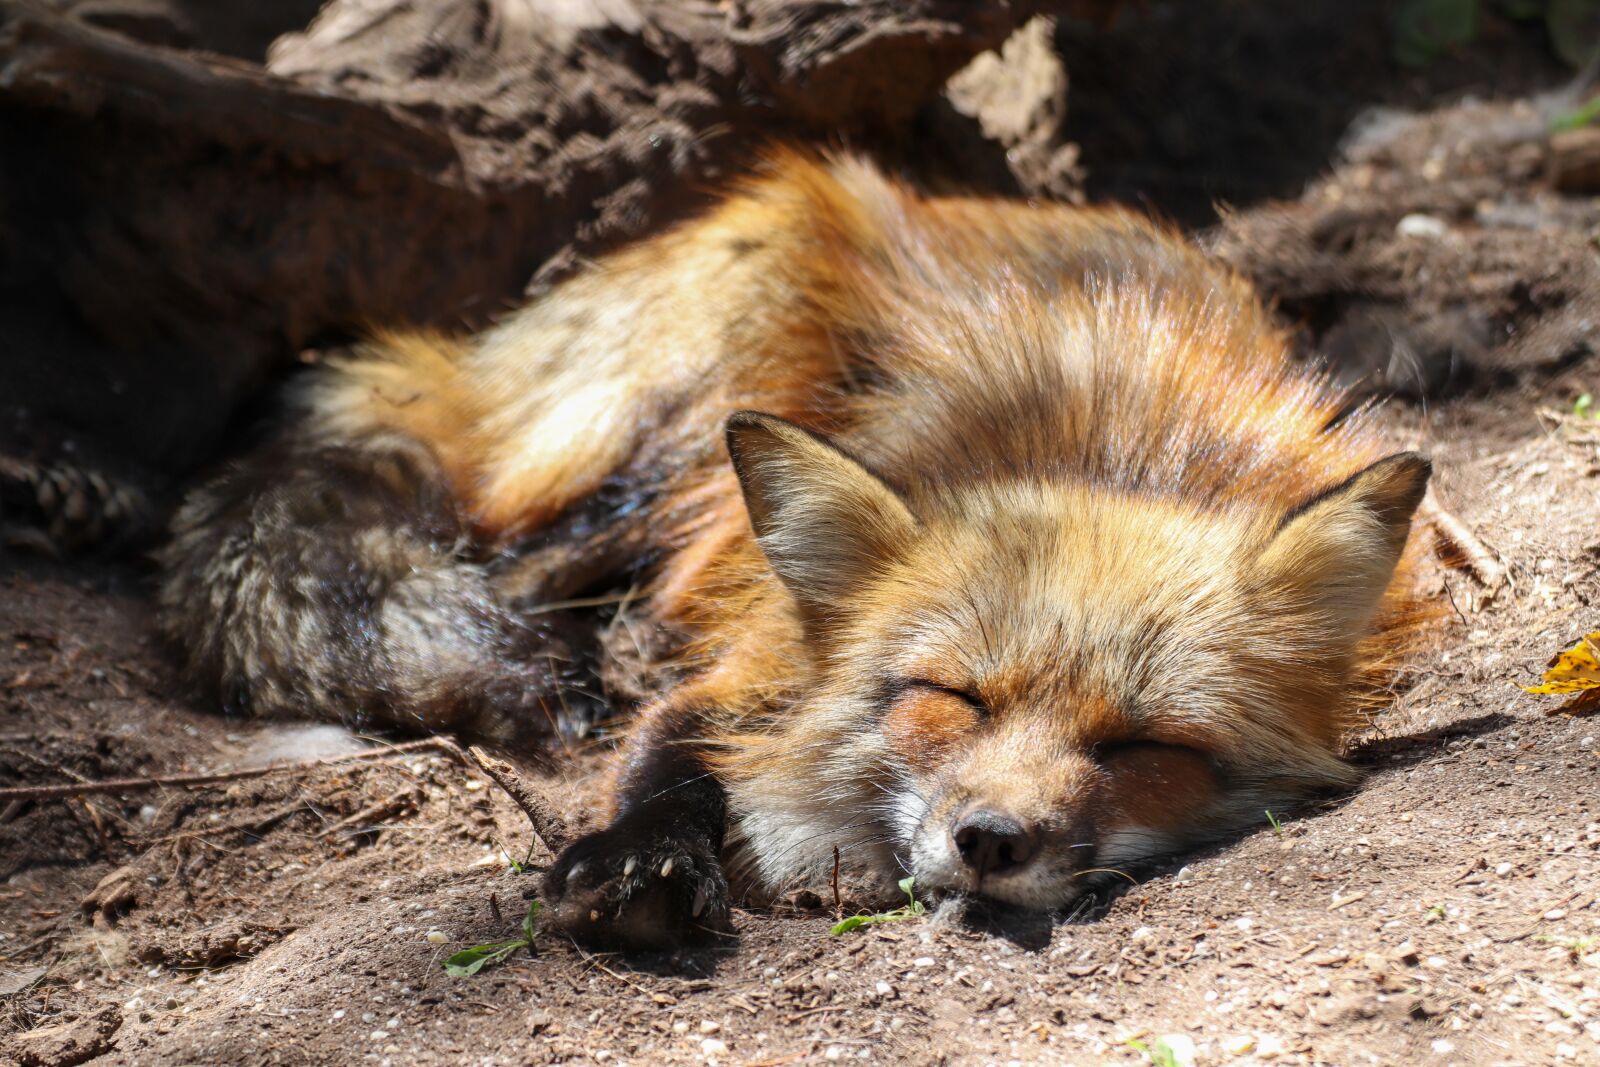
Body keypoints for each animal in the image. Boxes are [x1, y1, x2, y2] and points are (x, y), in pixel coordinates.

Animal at [158, 150, 1438, 950]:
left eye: (1142, 745)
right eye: (952, 697)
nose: (989, 839)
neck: (1111, 446)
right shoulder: (768, 641)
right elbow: (669, 747)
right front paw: (632, 865)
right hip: (663, 447)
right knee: (494, 565)